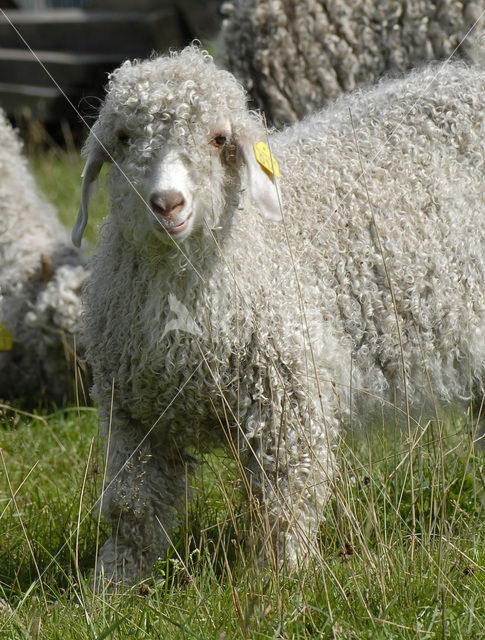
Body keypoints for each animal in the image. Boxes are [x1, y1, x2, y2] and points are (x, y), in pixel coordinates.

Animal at [73, 45, 484, 584]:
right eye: (123, 138)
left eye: (219, 139)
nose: (167, 204)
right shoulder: (132, 413)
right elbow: (132, 506)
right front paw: (114, 584)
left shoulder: (287, 401)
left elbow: (284, 499)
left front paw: (280, 579)